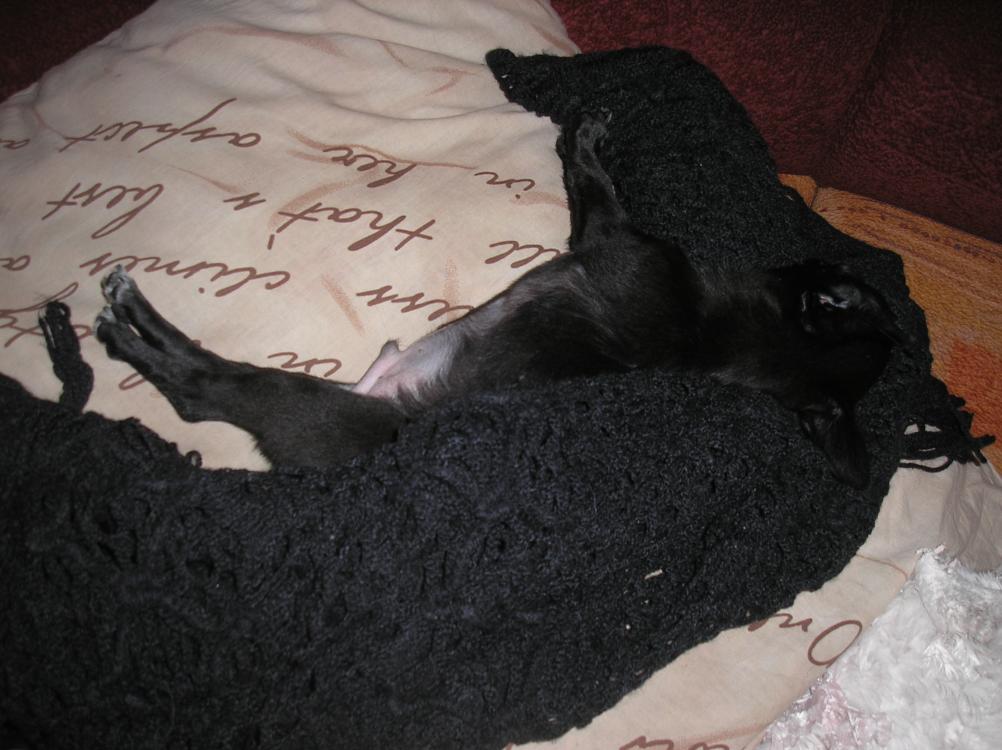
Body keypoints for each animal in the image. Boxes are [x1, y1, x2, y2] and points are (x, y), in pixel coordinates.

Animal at [95, 113, 899, 487]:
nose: (837, 257)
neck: (727, 335)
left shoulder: (609, 237)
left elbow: (591, 182)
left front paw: (585, 138)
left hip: (297, 403)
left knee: (205, 388)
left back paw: (130, 325)